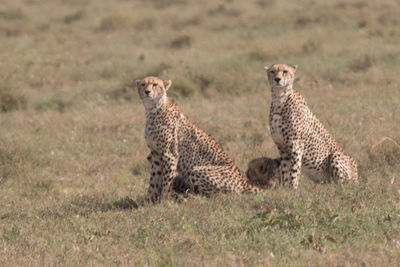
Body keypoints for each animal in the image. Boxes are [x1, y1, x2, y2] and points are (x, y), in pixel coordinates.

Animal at [136, 76, 264, 202]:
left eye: (155, 84)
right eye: (143, 84)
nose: (147, 91)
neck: (153, 109)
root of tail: (243, 181)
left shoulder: (169, 154)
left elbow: (167, 180)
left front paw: (164, 200)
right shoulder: (156, 154)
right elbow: (154, 179)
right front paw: (149, 200)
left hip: (197, 170)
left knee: (221, 195)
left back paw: (190, 197)